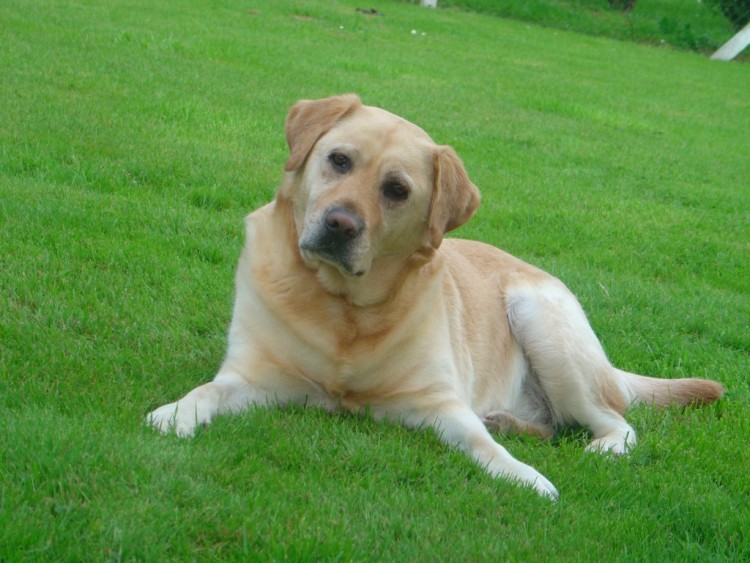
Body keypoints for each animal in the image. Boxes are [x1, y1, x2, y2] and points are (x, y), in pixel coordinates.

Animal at [144, 94, 724, 500]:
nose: (339, 224)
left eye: (396, 190)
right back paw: (513, 421)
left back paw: (596, 447)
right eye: (338, 160)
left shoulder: (440, 403)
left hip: (543, 324)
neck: (344, 307)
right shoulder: (254, 378)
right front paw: (174, 414)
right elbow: (206, 391)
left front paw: (525, 477)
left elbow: (481, 444)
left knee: (617, 420)